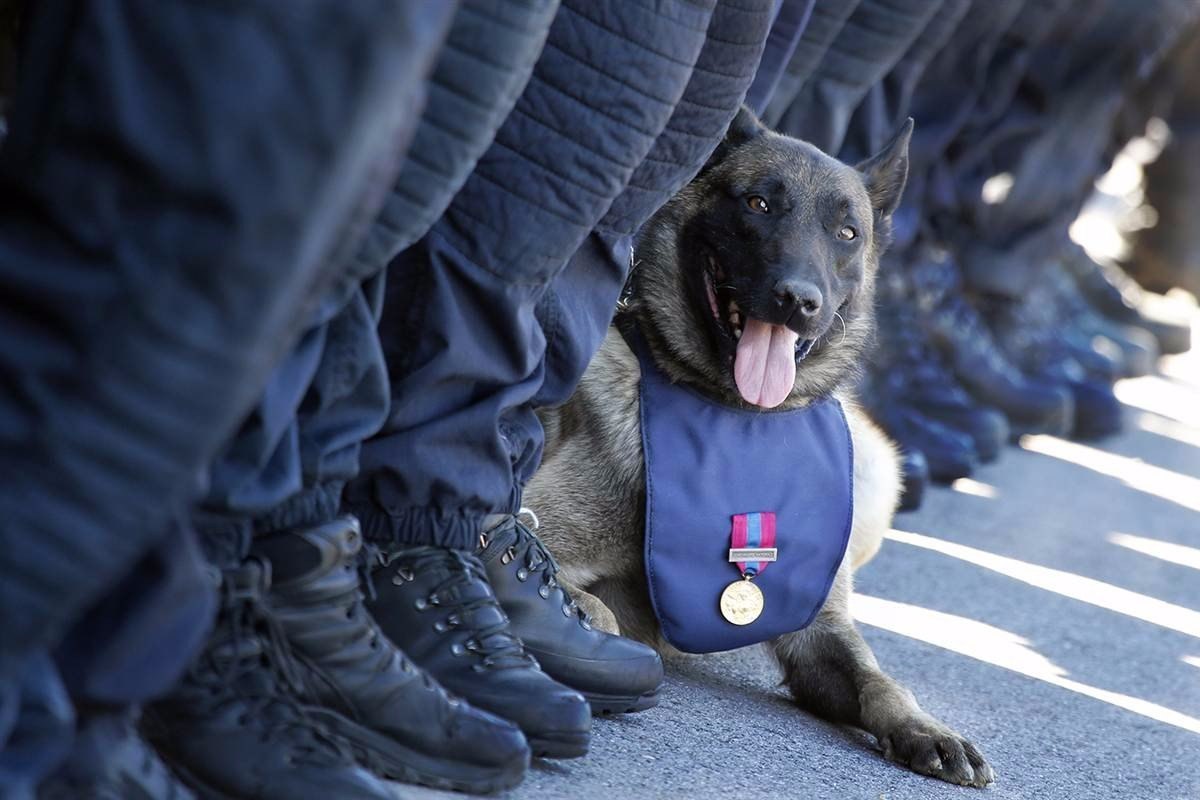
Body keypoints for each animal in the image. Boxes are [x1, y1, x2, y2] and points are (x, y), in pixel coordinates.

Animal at [525, 107, 993, 786]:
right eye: (759, 203)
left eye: (847, 233)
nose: (798, 300)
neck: (737, 415)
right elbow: (594, 606)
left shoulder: (817, 628)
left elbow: (880, 681)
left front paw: (925, 728)